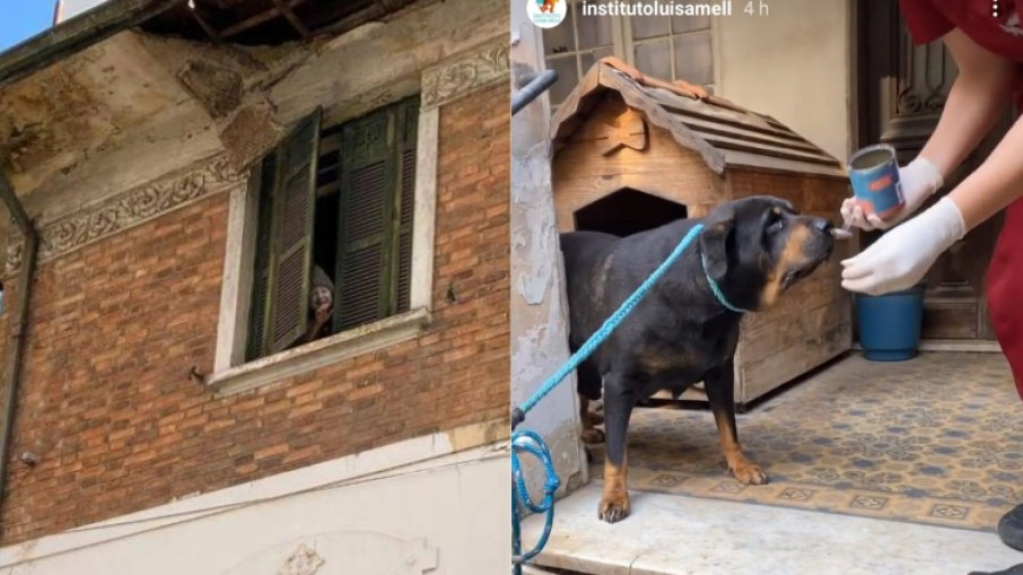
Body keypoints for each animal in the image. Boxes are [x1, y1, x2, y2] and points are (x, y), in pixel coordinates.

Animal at [564, 194, 834, 521]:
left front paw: (740, 465)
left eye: (795, 212)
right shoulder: (619, 382)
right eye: (773, 224)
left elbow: (729, 429)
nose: (828, 225)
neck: (703, 287)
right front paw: (615, 496)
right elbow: (617, 453)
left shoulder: (720, 373)